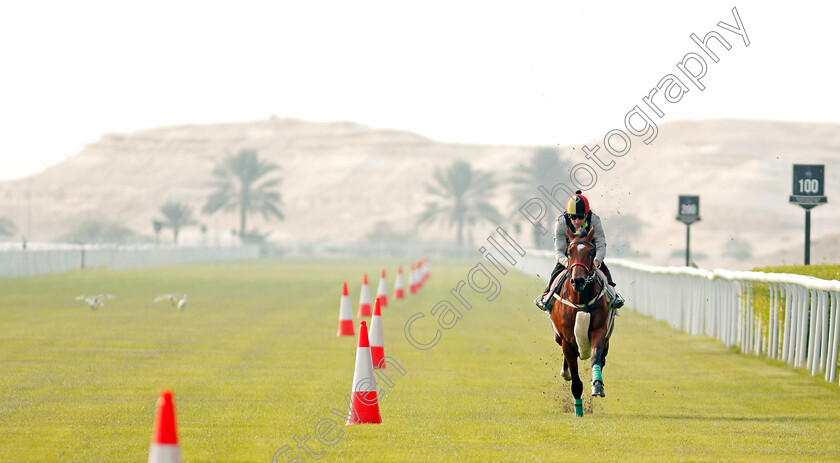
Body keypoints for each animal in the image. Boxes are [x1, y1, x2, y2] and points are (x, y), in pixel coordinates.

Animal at [548, 227, 612, 418]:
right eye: (569, 252)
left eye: (591, 252)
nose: (578, 280)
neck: (580, 297)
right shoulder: (567, 340)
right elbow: (575, 378)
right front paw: (578, 409)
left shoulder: (599, 331)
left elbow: (596, 357)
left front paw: (597, 385)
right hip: (558, 337)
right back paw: (566, 372)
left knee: (602, 357)